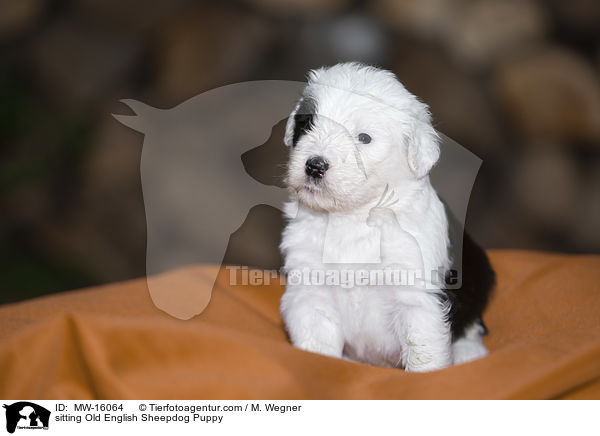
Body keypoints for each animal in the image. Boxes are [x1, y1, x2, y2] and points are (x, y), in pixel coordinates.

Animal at [278, 63, 494, 372]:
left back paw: (468, 352)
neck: (354, 217)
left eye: (364, 138)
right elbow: (317, 344)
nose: (314, 166)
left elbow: (424, 355)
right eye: (307, 124)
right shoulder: (310, 289)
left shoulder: (418, 298)